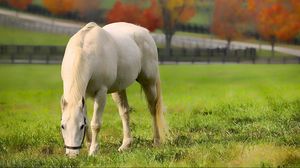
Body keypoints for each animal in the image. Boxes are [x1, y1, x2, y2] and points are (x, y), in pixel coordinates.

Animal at [59, 22, 165, 156]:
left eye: (80, 126)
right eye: (63, 126)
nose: (72, 154)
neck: (85, 50)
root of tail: (145, 32)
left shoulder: (101, 94)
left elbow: (95, 123)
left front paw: (93, 150)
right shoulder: (83, 96)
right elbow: (88, 119)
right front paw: (88, 145)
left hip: (149, 83)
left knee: (153, 109)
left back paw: (157, 141)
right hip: (119, 89)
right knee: (124, 112)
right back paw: (125, 145)